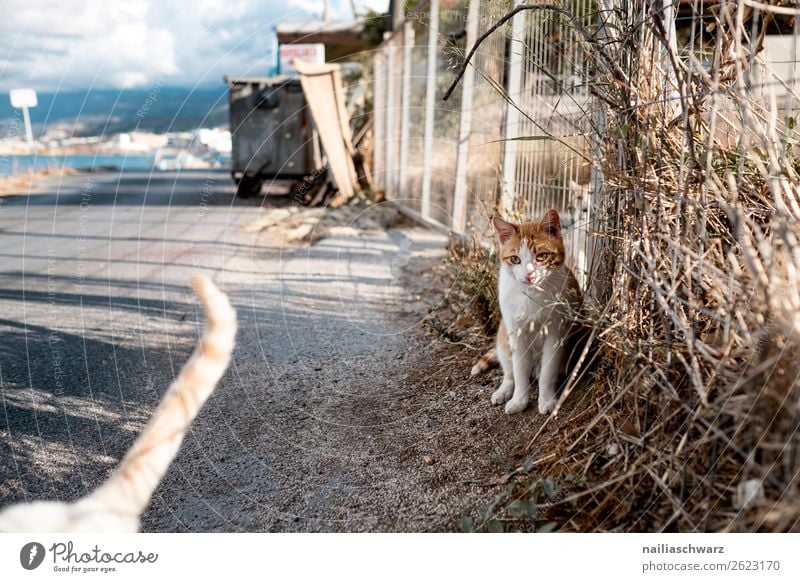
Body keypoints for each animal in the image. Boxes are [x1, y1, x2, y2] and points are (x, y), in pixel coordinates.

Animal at [468, 210, 580, 416]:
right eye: (515, 259)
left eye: (542, 256)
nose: (529, 275)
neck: (532, 294)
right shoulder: (516, 333)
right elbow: (519, 371)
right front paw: (519, 400)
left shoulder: (555, 334)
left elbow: (548, 372)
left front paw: (546, 399)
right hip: (503, 338)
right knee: (510, 372)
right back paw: (503, 391)